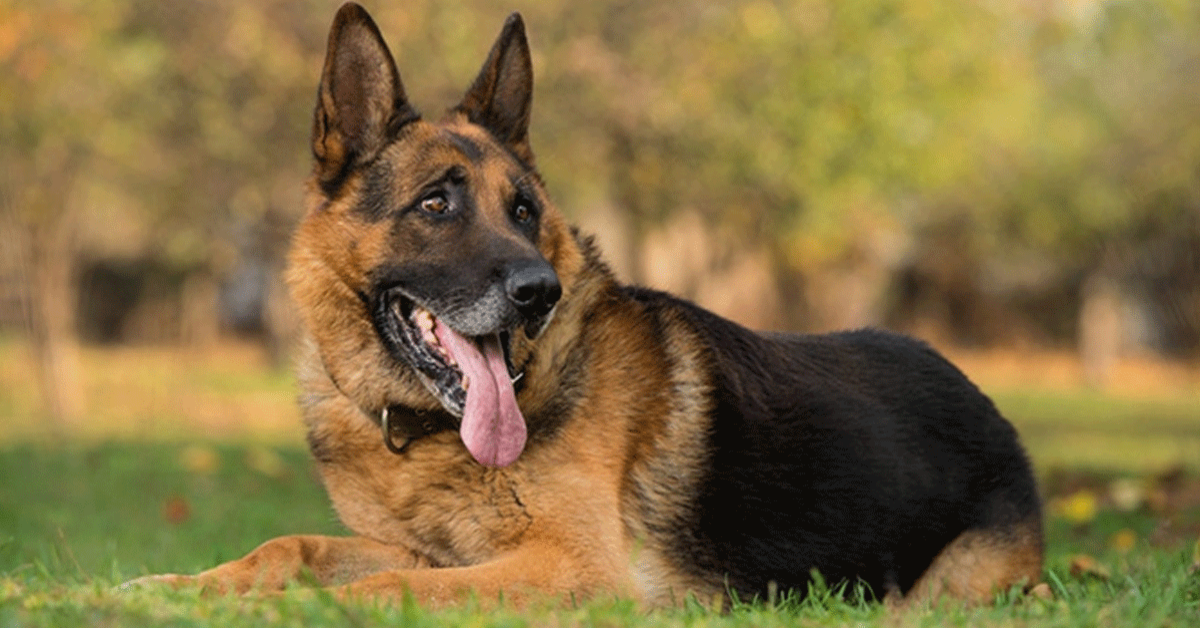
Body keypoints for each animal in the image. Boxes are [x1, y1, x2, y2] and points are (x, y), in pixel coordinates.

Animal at [121, 1, 1041, 609]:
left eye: (525, 210)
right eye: (435, 205)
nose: (539, 292)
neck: (427, 436)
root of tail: (986, 405)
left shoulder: (571, 568)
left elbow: (377, 590)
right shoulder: (422, 547)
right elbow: (289, 546)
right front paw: (168, 585)